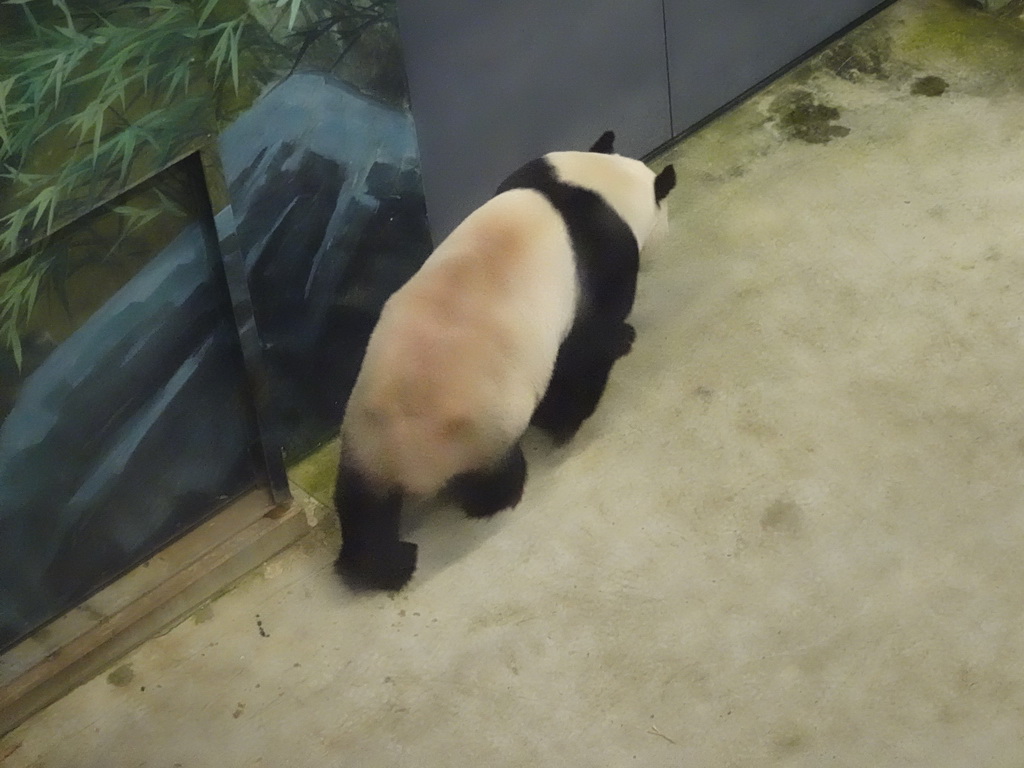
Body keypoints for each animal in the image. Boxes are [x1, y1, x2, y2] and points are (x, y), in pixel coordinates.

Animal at [331, 131, 675, 589]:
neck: (598, 185)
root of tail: (409, 462)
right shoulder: (604, 256)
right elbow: (587, 344)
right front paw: (617, 348)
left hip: (364, 432)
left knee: (363, 507)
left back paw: (385, 564)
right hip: (484, 425)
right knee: (491, 474)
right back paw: (497, 498)